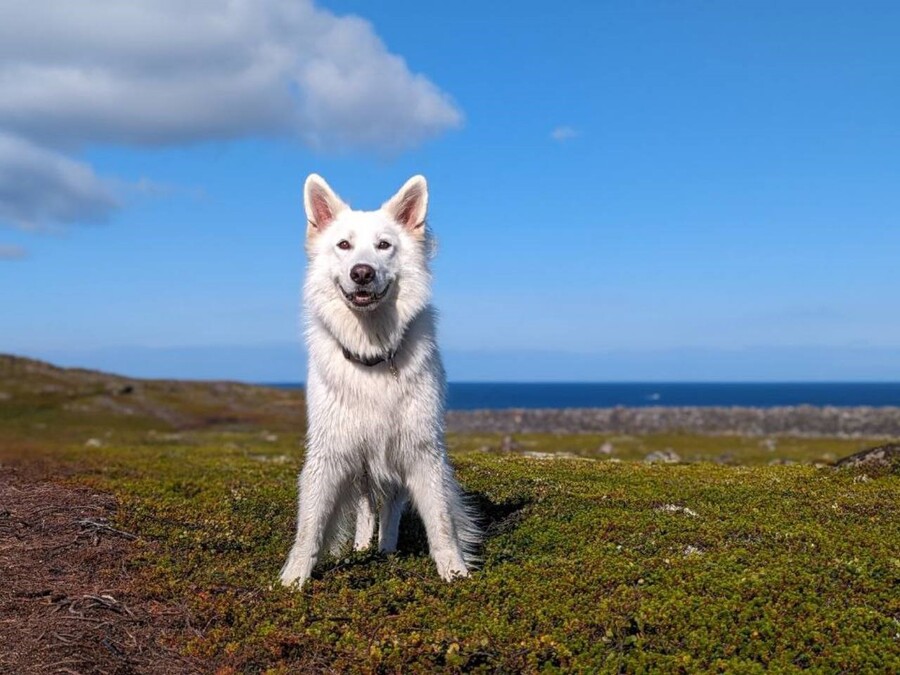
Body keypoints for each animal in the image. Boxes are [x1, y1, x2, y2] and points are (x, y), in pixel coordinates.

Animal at [280, 177, 478, 588]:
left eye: (384, 245)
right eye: (344, 245)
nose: (362, 272)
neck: (371, 352)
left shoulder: (420, 450)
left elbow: (441, 522)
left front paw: (455, 573)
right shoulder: (331, 452)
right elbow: (310, 525)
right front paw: (293, 580)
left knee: (391, 507)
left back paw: (386, 548)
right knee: (366, 507)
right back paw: (361, 547)